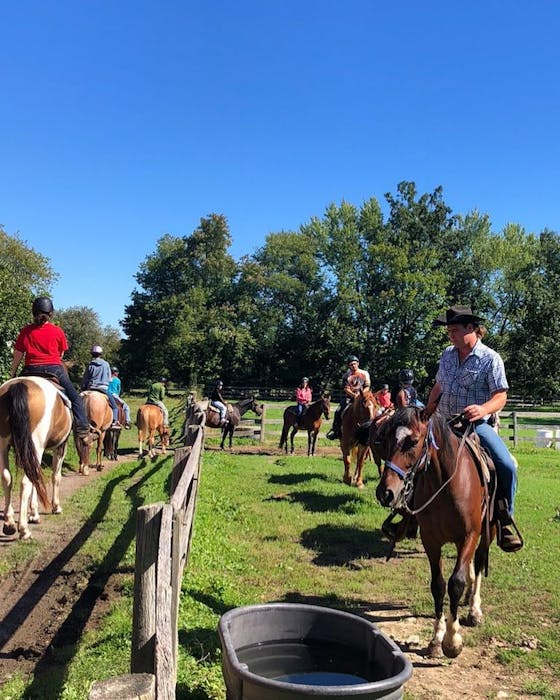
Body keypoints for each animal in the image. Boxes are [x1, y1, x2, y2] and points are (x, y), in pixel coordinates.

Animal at [0, 378, 72, 540]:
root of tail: (18, 385)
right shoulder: (60, 447)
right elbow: (55, 476)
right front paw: (55, 507)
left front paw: (33, 514)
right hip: (36, 444)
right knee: (25, 482)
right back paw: (23, 529)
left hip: (3, 445)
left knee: (7, 478)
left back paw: (9, 523)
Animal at [376, 408, 494, 660]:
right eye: (386, 439)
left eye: (412, 441)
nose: (385, 493)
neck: (447, 486)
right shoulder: (431, 540)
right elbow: (438, 585)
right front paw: (437, 639)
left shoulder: (469, 535)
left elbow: (456, 582)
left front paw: (452, 641)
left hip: (488, 531)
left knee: (479, 561)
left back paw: (474, 609)